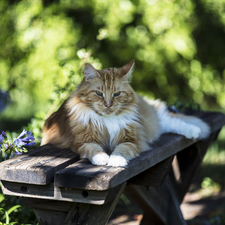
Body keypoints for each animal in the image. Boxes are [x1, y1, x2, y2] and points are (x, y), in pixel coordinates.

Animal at [40, 61, 211, 167]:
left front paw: (115, 161)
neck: (107, 120)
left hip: (153, 121)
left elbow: (121, 151)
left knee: (172, 121)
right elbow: (94, 149)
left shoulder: (130, 139)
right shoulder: (83, 141)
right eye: (99, 93)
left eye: (116, 94)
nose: (108, 104)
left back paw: (194, 131)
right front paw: (102, 158)